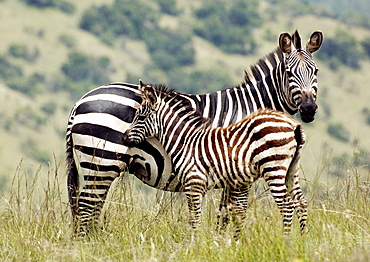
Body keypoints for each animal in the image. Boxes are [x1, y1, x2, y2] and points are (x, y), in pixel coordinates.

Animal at [123, 83, 308, 236]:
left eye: (140, 117)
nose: (124, 138)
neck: (186, 141)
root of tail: (293, 125)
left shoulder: (194, 183)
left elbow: (195, 220)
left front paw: (195, 245)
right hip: (292, 169)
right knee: (300, 202)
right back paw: (301, 240)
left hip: (274, 168)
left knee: (287, 206)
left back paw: (285, 240)